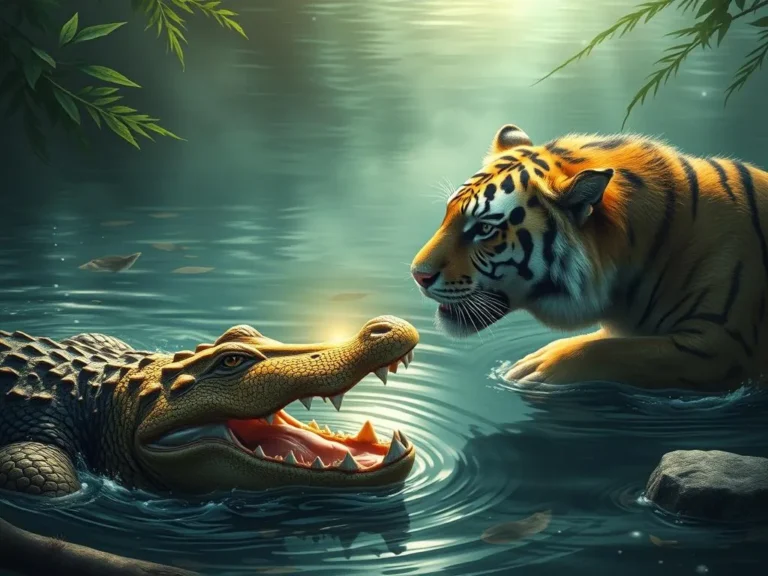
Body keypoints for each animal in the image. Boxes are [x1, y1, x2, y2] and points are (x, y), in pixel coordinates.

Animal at [409, 123, 768, 392]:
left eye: (484, 228)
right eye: (447, 215)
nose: (417, 275)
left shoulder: (718, 344)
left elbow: (617, 351)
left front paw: (533, 370)